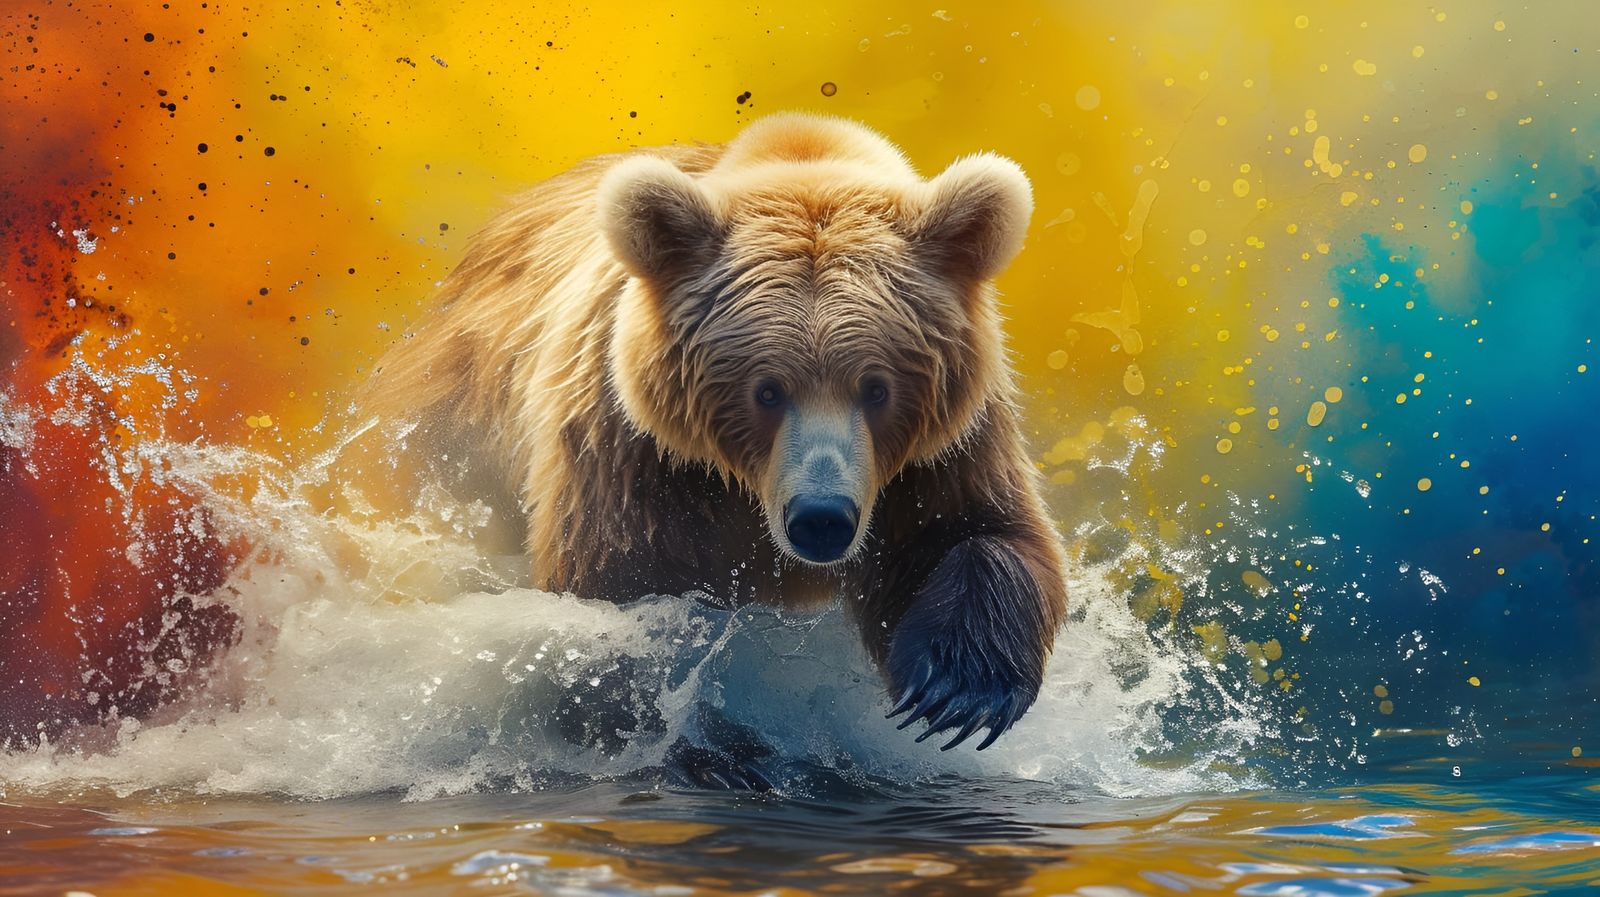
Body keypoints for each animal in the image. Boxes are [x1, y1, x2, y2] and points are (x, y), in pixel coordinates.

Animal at [359, 113, 1067, 753]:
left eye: (876, 388)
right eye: (767, 389)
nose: (821, 518)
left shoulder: (946, 448)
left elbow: (969, 531)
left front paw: (955, 689)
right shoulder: (633, 454)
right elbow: (622, 603)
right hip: (447, 425)